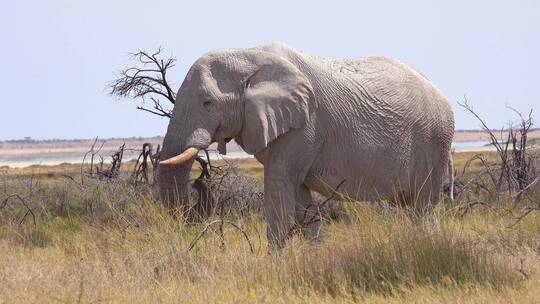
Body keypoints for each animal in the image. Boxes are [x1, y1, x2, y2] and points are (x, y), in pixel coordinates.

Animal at [157, 42, 456, 247]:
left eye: (208, 102)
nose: (190, 222)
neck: (248, 54)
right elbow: (300, 199)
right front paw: (314, 255)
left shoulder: (305, 126)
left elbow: (279, 188)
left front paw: (272, 266)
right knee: (410, 206)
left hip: (434, 141)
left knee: (423, 207)